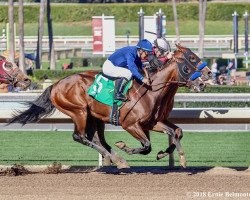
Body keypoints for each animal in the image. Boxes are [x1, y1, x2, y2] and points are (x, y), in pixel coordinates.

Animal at [8, 44, 209, 169]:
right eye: (190, 60)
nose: (203, 81)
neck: (151, 90)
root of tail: (55, 85)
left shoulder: (151, 122)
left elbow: (175, 132)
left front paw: (174, 157)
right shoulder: (130, 124)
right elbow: (146, 145)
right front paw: (125, 147)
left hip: (95, 117)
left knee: (95, 139)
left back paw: (117, 159)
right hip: (79, 111)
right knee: (79, 136)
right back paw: (115, 157)